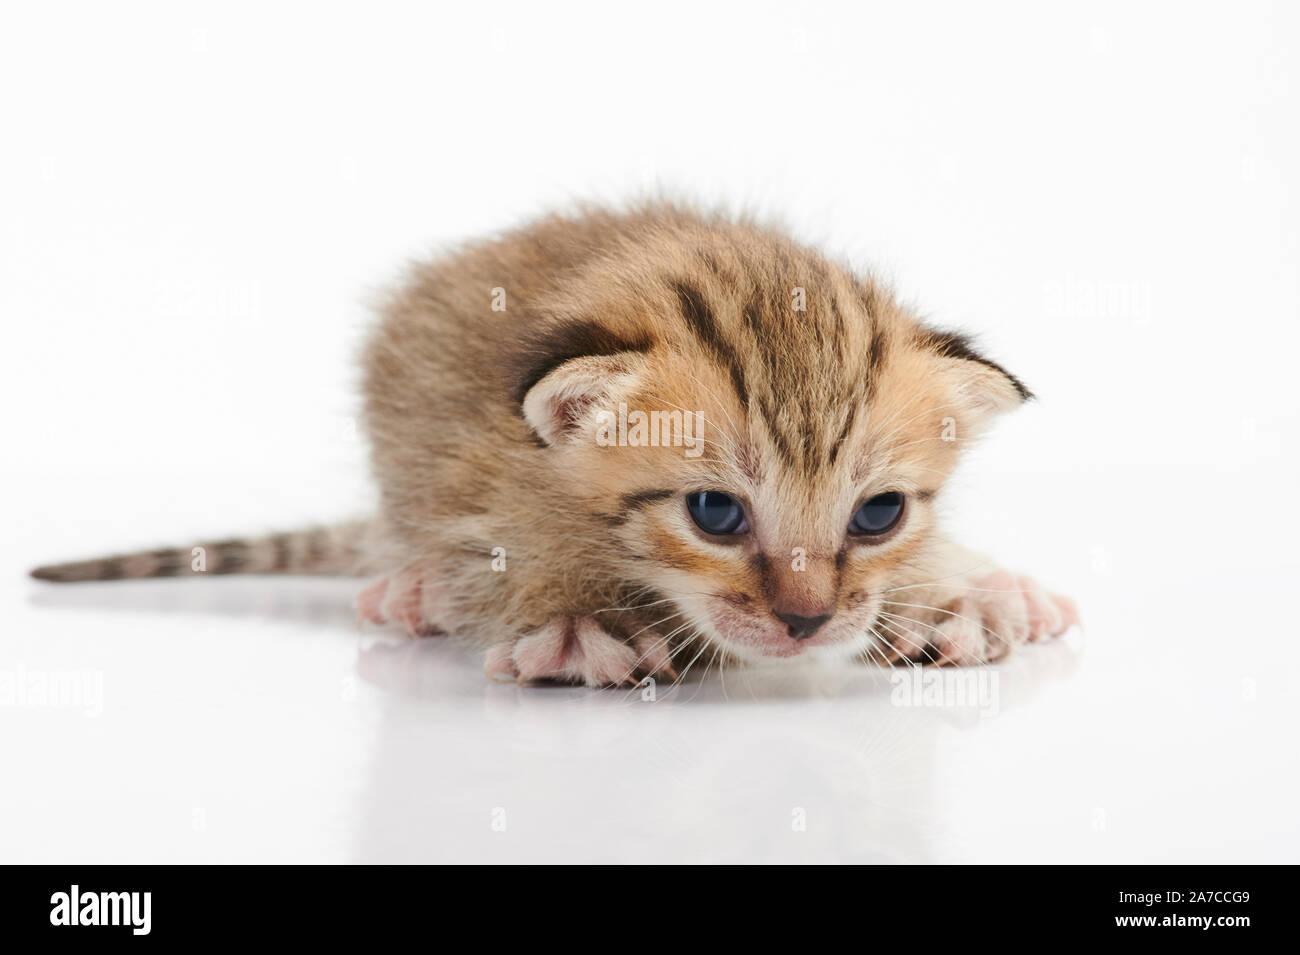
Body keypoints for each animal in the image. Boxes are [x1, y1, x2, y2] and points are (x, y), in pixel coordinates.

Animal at [30, 203, 1076, 686]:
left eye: (879, 513)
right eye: (714, 512)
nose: (808, 622)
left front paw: (960, 589)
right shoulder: (474, 457)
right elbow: (502, 543)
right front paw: (574, 622)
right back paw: (410, 589)